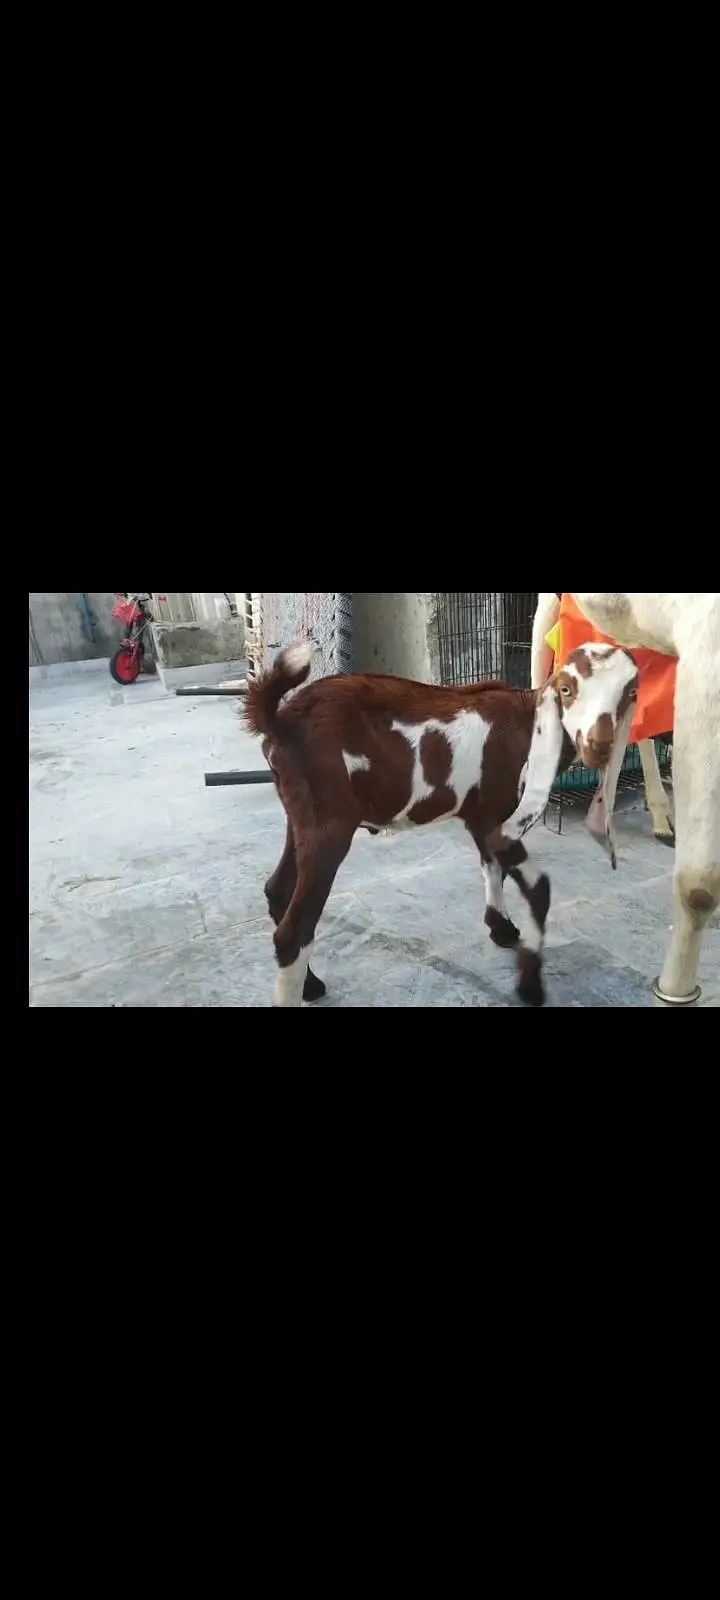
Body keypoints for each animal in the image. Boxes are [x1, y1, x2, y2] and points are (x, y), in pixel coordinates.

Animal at [246, 640, 640, 1008]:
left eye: (630, 692)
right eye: (567, 689)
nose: (598, 745)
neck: (529, 725)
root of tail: (281, 720)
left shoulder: (481, 816)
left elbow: (491, 867)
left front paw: (500, 928)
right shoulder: (496, 818)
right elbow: (538, 887)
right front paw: (530, 986)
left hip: (301, 815)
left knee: (278, 890)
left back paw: (310, 984)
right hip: (330, 823)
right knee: (294, 930)